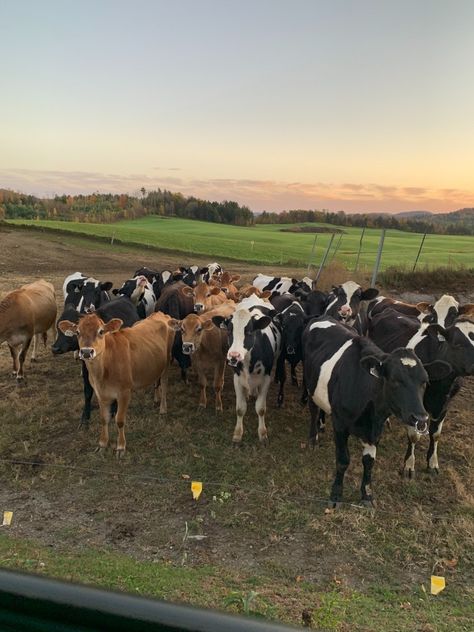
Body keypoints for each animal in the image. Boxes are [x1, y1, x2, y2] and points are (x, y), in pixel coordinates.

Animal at [53, 298, 140, 428]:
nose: (55, 348)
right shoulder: (86, 369)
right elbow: (88, 392)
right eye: (76, 332)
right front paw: (85, 417)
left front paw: (113, 410)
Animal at [58, 312, 174, 454]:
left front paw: (120, 446)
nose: (86, 352)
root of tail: (160, 314)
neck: (103, 371)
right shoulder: (100, 393)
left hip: (167, 361)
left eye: (101, 331)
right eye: (78, 332)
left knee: (164, 383)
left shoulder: (124, 392)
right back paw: (156, 398)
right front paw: (102, 443)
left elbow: (119, 420)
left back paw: (163, 408)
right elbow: (104, 418)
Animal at [212, 296, 282, 444]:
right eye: (229, 331)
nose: (234, 355)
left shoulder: (266, 379)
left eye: (249, 332)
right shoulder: (237, 378)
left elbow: (260, 408)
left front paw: (262, 433)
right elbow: (240, 409)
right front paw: (238, 434)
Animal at [302, 318, 450, 506]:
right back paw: (313, 438)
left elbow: (369, 461)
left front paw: (367, 495)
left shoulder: (376, 429)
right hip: (309, 385)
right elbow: (342, 460)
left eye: (425, 381)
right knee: (313, 410)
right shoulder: (340, 424)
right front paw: (336, 494)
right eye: (394, 380)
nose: (420, 417)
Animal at [370, 308, 474, 476]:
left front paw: (432, 463)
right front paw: (409, 465)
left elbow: (436, 435)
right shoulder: (413, 405)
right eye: (457, 344)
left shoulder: (444, 405)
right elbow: (414, 436)